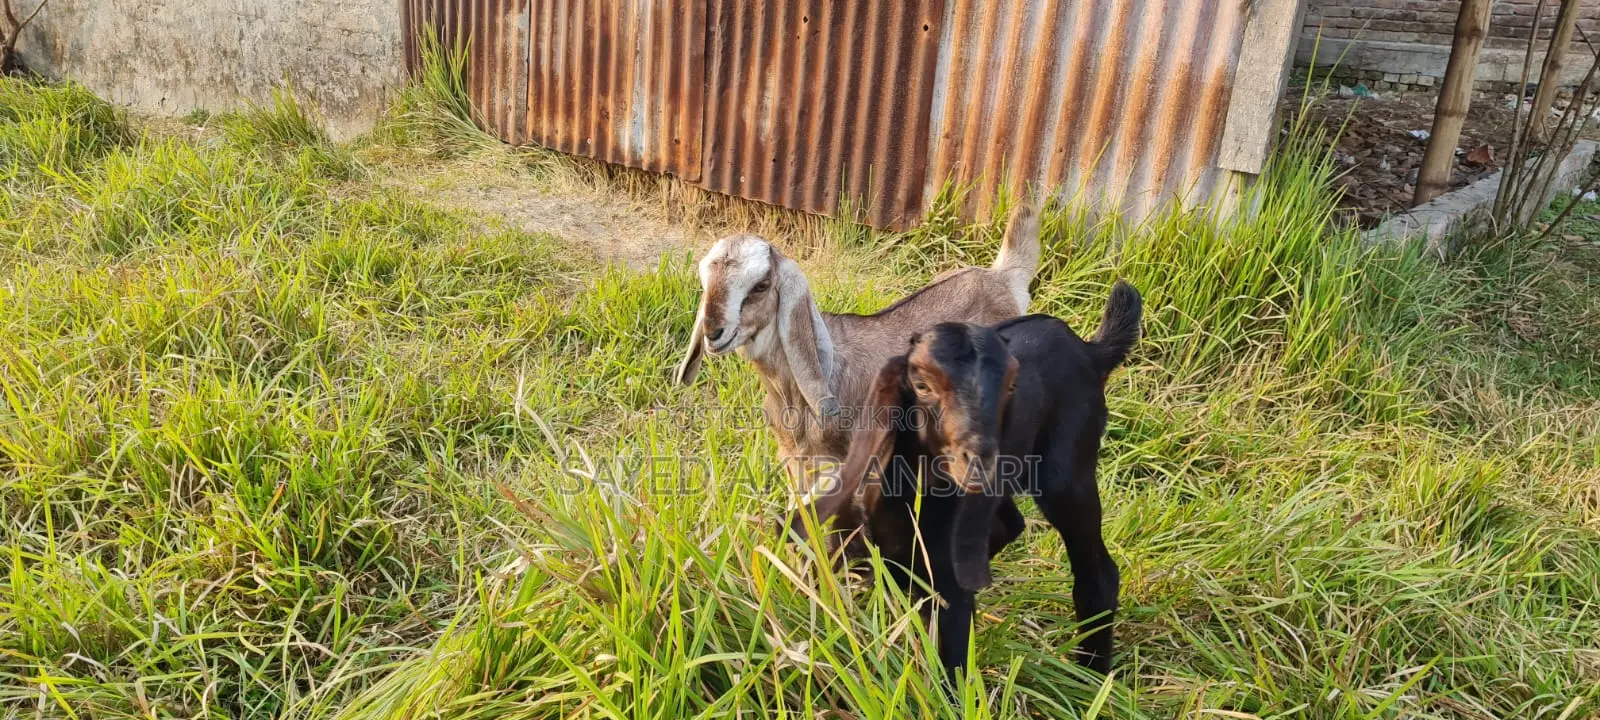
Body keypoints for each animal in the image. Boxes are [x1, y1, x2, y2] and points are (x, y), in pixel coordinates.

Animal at [674, 205, 1043, 555]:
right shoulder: (796, 461)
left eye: (761, 285)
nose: (713, 332)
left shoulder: (840, 464)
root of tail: (1003, 277)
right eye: (705, 281)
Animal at [795, 281, 1142, 680]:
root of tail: (1089, 351)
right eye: (922, 384)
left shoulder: (951, 596)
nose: (979, 459)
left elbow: (950, 674)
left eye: (1011, 387)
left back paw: (1092, 675)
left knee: (1098, 574)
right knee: (1010, 522)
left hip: (1066, 477)